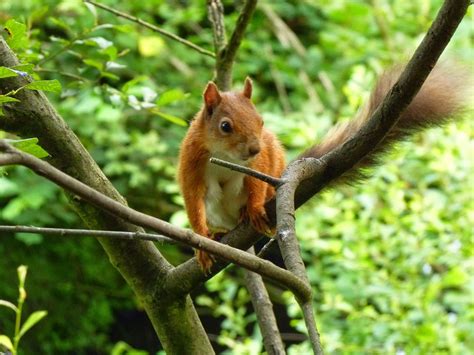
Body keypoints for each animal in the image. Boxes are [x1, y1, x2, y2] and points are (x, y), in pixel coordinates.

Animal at [178, 67, 466, 272]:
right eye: (225, 126)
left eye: (260, 121)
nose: (254, 148)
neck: (223, 155)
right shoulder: (192, 162)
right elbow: (193, 199)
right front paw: (201, 241)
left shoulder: (259, 164)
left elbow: (257, 182)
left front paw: (256, 208)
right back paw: (219, 232)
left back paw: (246, 214)